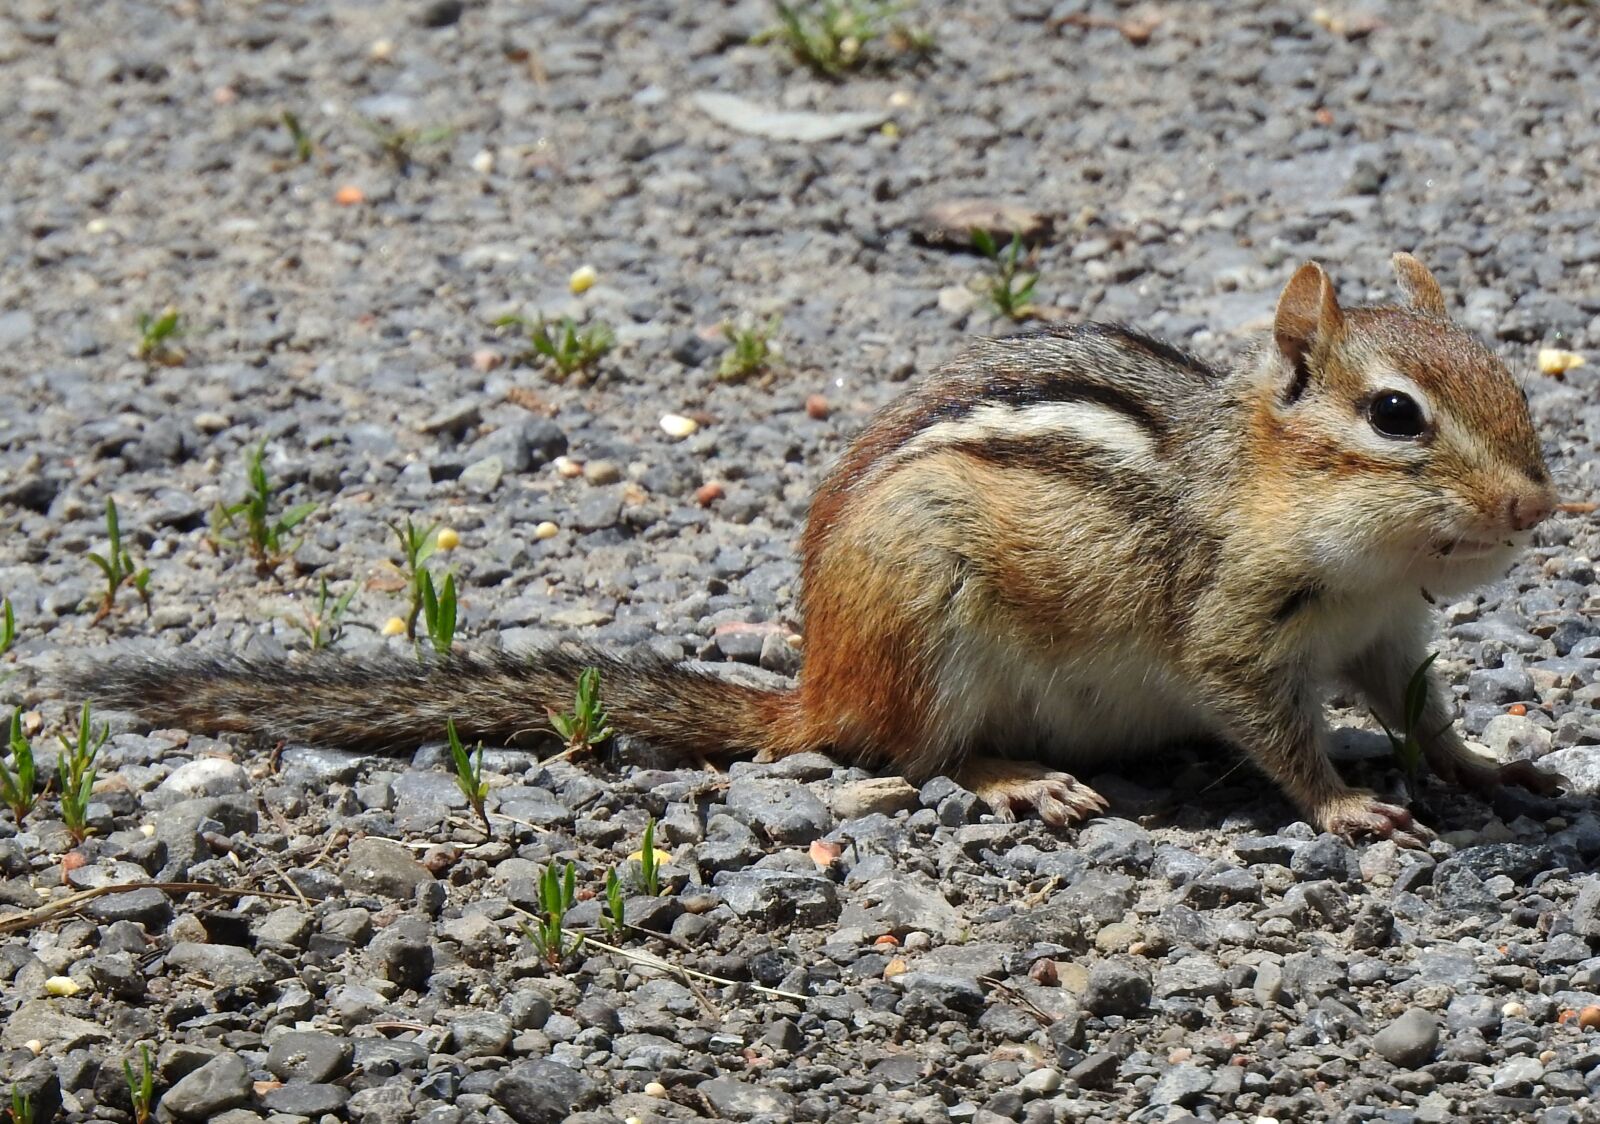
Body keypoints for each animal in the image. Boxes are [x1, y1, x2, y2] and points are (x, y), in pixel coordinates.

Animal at [67, 254, 1560, 847]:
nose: (1540, 512)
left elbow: (1423, 711)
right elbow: (1274, 726)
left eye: (1507, 380)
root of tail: (817, 677)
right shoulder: (1236, 629)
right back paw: (1025, 778)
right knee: (910, 753)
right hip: (934, 619)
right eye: (1395, 414)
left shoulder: (1387, 632)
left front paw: (1491, 767)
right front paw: (1346, 805)